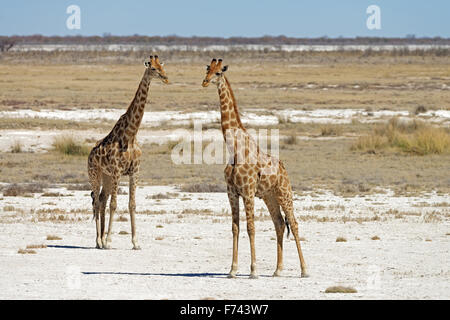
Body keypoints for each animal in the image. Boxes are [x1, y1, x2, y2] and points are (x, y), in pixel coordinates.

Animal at [87, 55, 169, 250]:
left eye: (162, 66)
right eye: (153, 68)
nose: (165, 77)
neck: (131, 135)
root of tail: (89, 155)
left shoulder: (134, 171)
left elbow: (132, 205)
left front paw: (136, 242)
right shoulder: (117, 171)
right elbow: (115, 205)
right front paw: (109, 241)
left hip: (107, 177)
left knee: (101, 199)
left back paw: (101, 240)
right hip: (95, 174)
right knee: (96, 202)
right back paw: (99, 240)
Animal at [201, 58, 310, 278]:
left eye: (218, 72)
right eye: (208, 69)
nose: (205, 81)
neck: (234, 148)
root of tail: (284, 169)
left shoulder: (248, 191)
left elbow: (250, 227)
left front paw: (253, 270)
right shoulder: (232, 192)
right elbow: (235, 227)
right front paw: (232, 270)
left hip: (284, 192)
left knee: (293, 224)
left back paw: (304, 270)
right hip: (269, 196)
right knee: (279, 224)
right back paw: (277, 270)